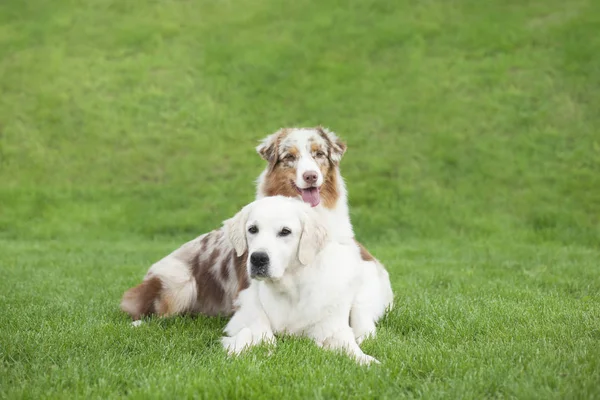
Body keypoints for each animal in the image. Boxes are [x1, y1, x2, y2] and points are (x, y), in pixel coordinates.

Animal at [122, 127, 394, 340]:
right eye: (290, 157)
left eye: (319, 154)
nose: (310, 176)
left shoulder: (366, 271)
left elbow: (359, 305)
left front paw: (364, 335)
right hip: (180, 282)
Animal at [218, 197, 392, 366]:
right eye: (253, 229)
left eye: (285, 231)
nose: (258, 258)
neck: (290, 289)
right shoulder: (244, 314)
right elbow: (260, 334)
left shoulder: (333, 326)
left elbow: (350, 346)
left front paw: (367, 361)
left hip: (363, 303)